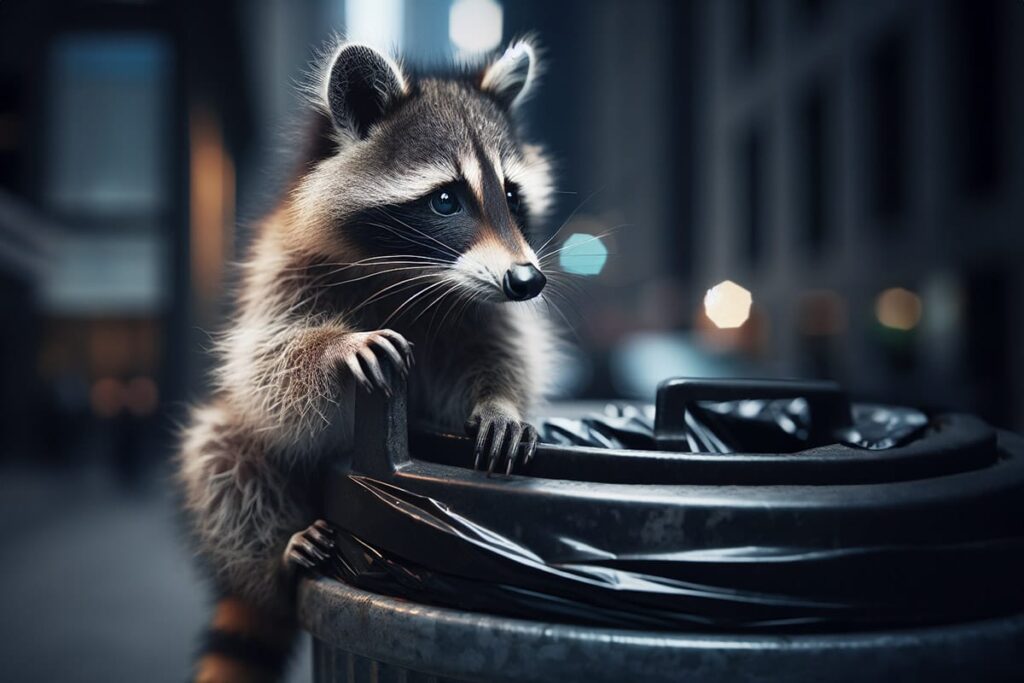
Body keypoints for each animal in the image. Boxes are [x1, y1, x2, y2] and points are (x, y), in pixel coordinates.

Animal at [178, 37, 558, 683]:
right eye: (446, 199)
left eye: (510, 194)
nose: (527, 281)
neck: (417, 276)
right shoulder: (283, 271)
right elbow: (266, 365)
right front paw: (333, 348)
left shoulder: (482, 309)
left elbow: (500, 352)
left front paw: (500, 402)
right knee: (221, 452)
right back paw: (275, 554)